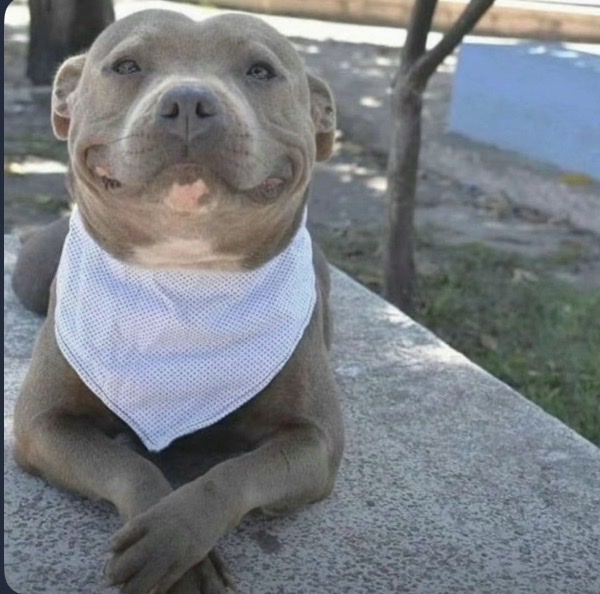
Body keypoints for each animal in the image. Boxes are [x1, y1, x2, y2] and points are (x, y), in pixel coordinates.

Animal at [12, 10, 344, 594]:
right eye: (126, 65)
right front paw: (176, 550)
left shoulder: (316, 440)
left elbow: (231, 474)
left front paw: (178, 539)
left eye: (261, 70)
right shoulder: (40, 424)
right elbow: (130, 466)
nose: (189, 101)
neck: (185, 274)